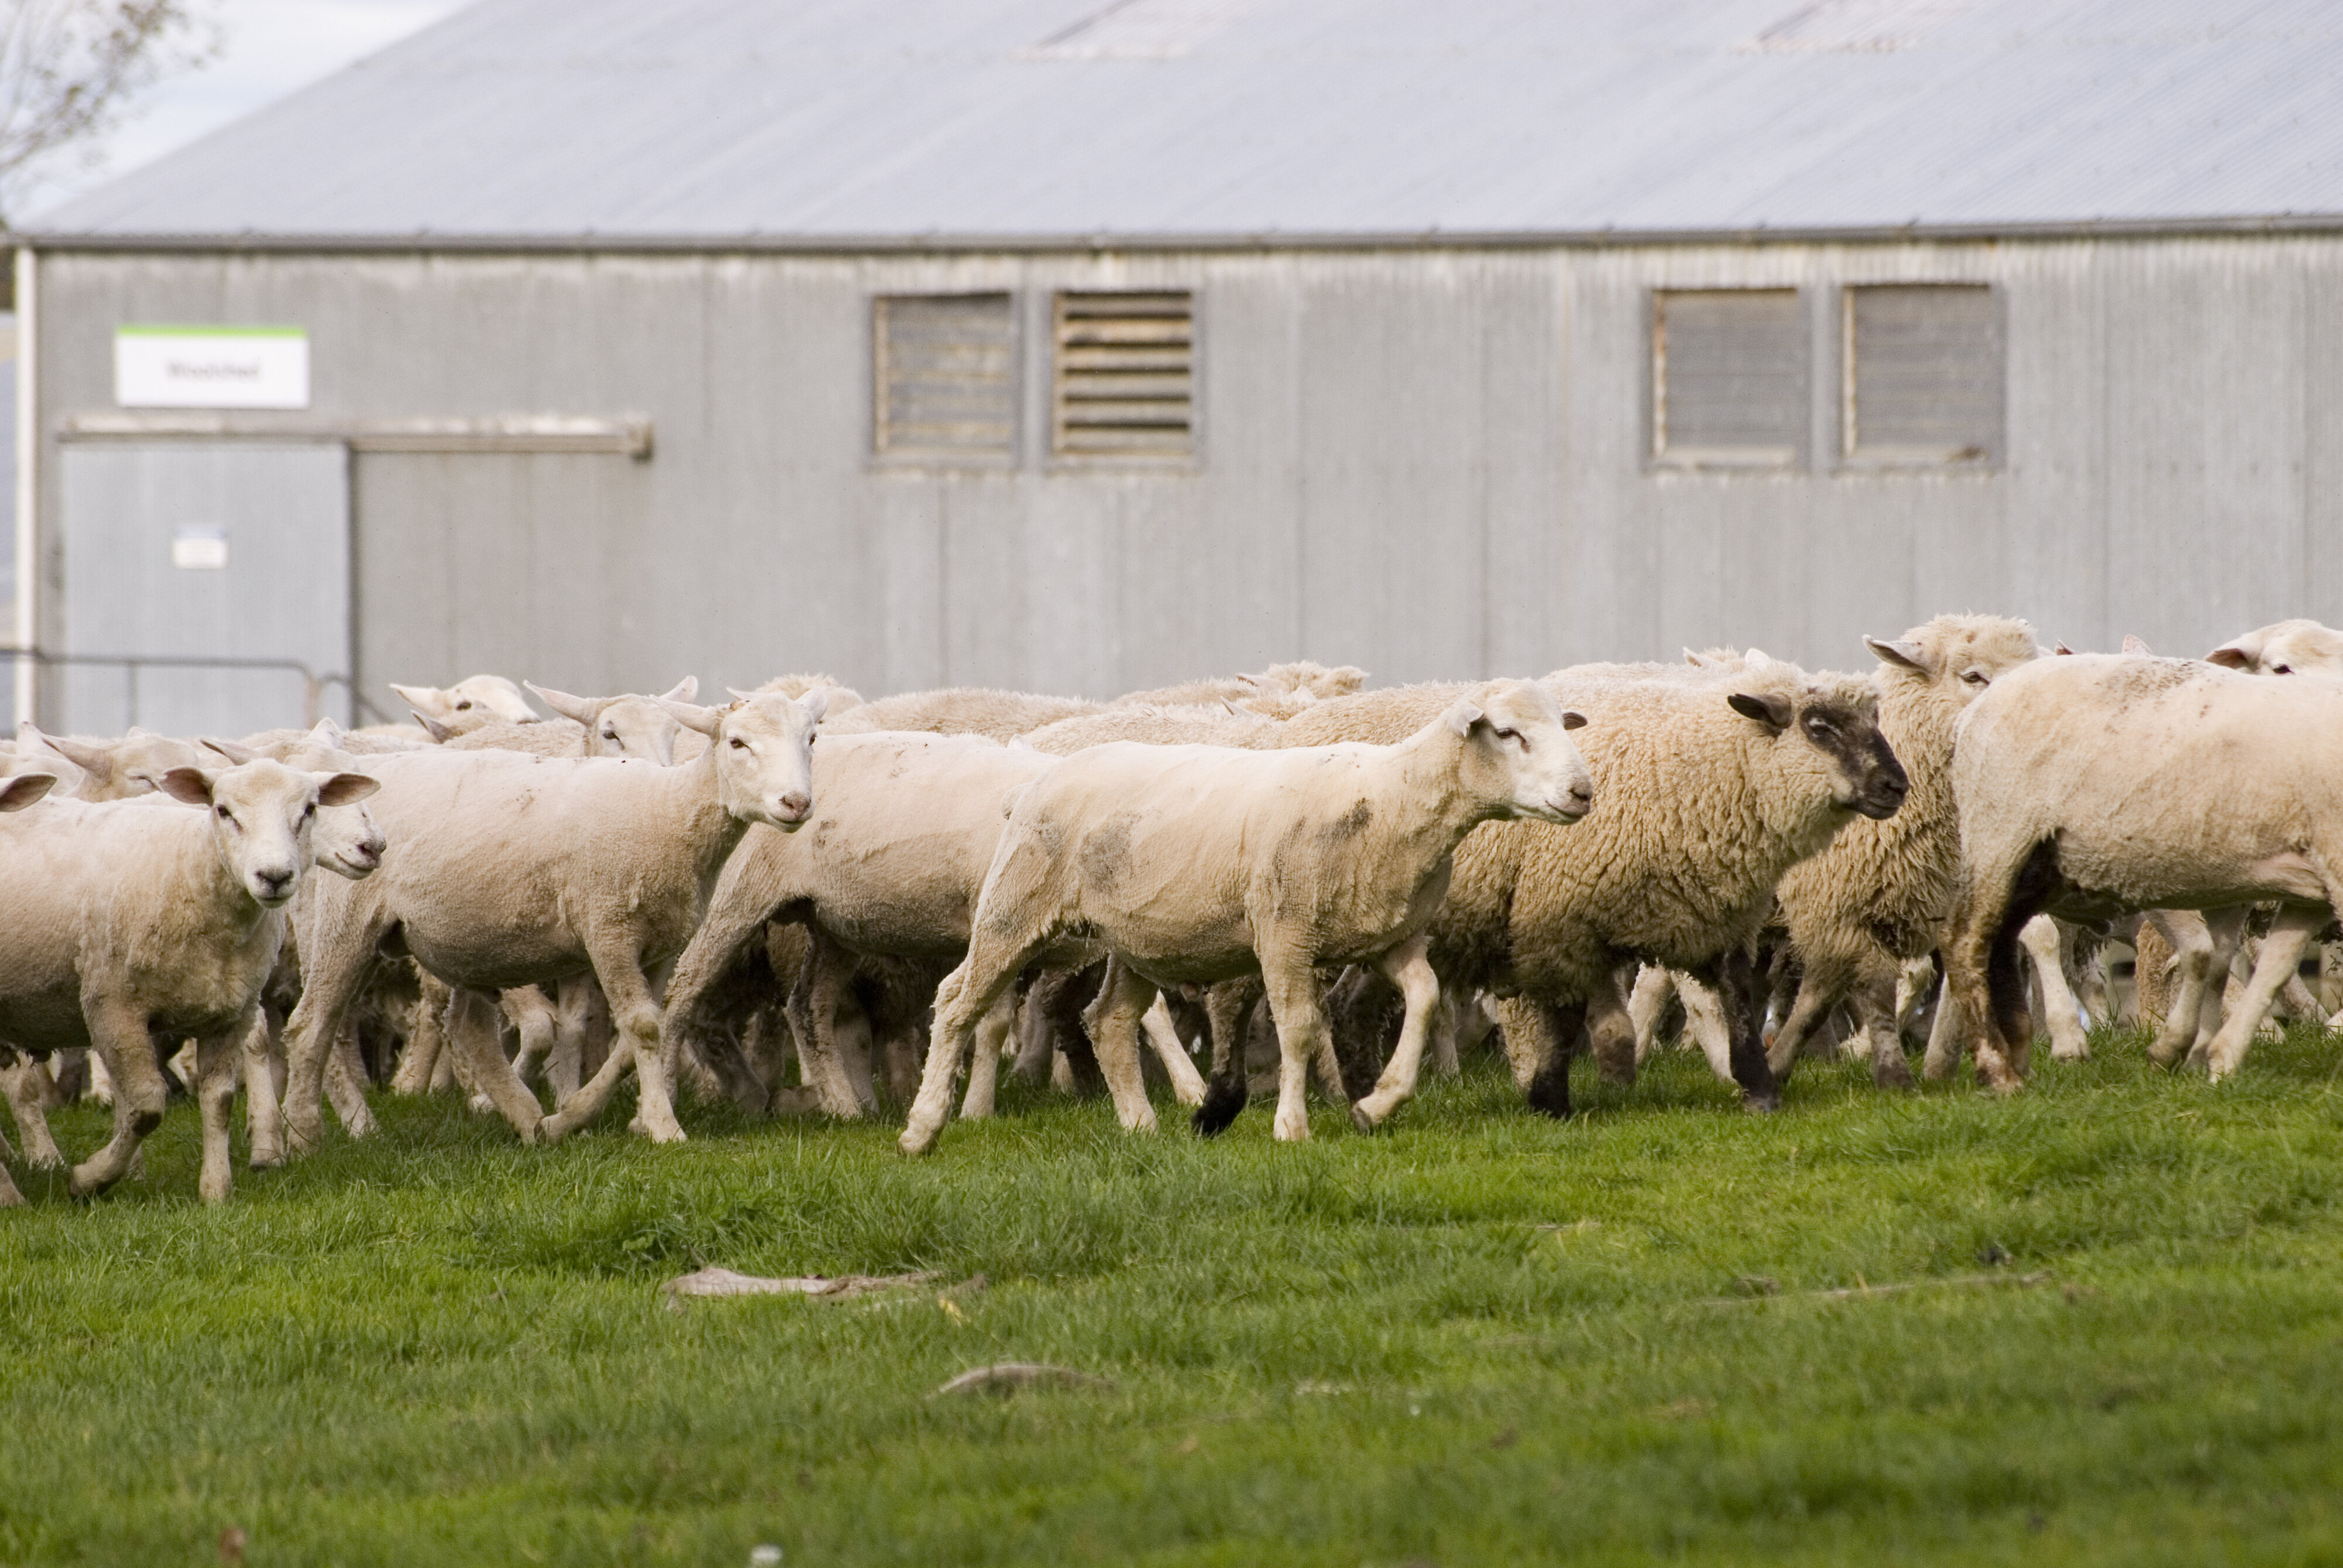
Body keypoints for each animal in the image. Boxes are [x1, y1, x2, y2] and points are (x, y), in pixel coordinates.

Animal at [0, 759, 376, 1202]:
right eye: (223, 811)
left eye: (309, 810)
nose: (274, 876)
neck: (190, 867)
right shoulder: (112, 1005)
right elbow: (145, 1107)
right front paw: (92, 1177)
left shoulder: (228, 1013)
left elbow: (220, 1099)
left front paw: (215, 1190)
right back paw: (20, 1186)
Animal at [277, 691, 828, 1154]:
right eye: (736, 742)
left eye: (811, 739)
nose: (796, 803)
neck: (669, 812)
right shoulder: (608, 928)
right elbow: (642, 1027)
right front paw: (663, 1126)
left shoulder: (660, 945)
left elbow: (640, 1033)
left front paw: (572, 1118)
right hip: (346, 920)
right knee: (311, 1026)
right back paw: (307, 1135)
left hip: (471, 939)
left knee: (468, 1028)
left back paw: (526, 1117)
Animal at [899, 679, 1595, 1154]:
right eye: (1507, 733)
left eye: (1563, 728)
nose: (1583, 792)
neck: (1392, 797)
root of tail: (1034, 779)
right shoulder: (1284, 933)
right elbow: (1299, 1027)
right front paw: (1292, 1126)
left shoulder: (1389, 936)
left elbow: (1423, 999)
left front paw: (1377, 1104)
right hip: (1014, 906)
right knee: (957, 1002)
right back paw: (922, 1128)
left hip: (1135, 938)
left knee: (1108, 1019)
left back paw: (1140, 1124)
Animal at [1264, 663, 1906, 1119]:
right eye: (1818, 727)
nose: (1896, 786)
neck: (1698, 769)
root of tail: (1286, 727)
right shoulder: (1558, 917)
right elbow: (1568, 1018)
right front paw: (1550, 1099)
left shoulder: (1721, 916)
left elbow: (1740, 1002)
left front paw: (1759, 1088)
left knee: (1351, 1006)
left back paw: (1364, 1093)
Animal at [1940, 654, 2343, 1090]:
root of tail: (1974, 709)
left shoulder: (2312, 887)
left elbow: (2272, 968)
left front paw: (2217, 1057)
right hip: (2000, 832)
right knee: (1964, 941)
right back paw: (1997, 1070)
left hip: (2037, 863)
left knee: (2001, 941)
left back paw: (2019, 1057)